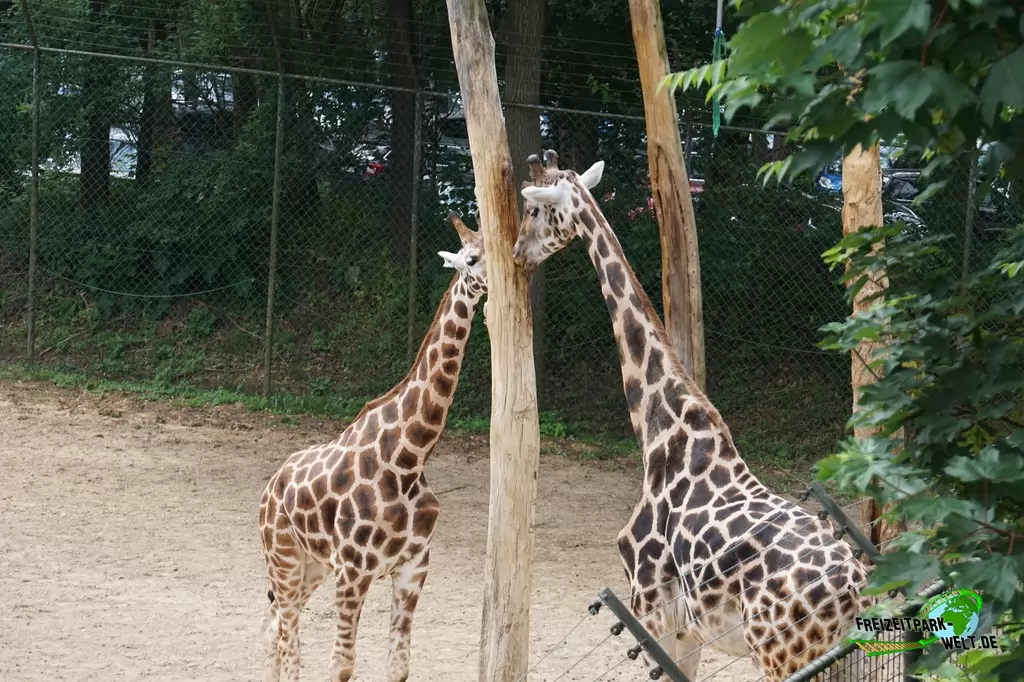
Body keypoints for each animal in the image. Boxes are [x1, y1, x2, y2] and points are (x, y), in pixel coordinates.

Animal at [258, 213, 487, 682]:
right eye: (472, 258)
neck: (409, 458)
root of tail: (269, 487)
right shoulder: (353, 571)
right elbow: (342, 666)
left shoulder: (413, 569)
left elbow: (398, 666)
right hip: (284, 558)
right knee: (289, 638)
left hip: (311, 566)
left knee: (276, 627)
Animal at [511, 151, 870, 682]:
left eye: (535, 210)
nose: (518, 253)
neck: (659, 431)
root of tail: (857, 591)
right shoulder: (687, 629)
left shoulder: (654, 610)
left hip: (784, 654)